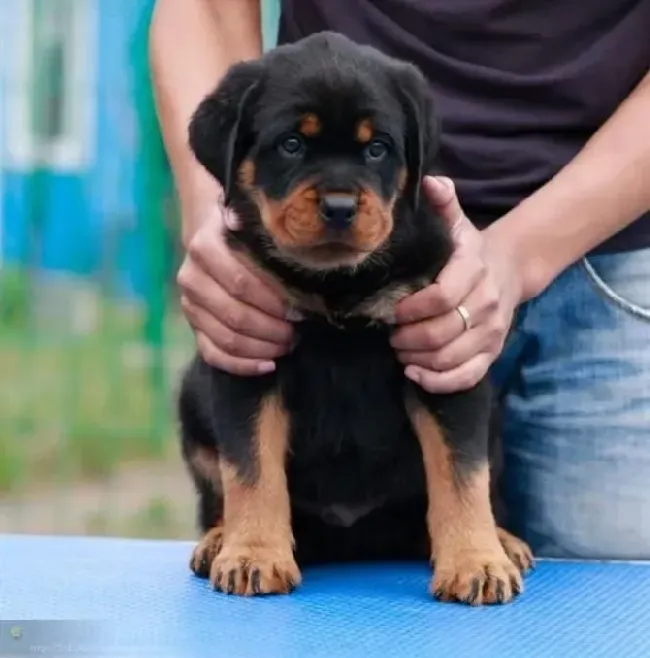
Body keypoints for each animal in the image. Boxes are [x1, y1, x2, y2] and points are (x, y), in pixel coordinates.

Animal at [178, 32, 532, 604]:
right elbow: (250, 468)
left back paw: (503, 541)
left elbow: (461, 472)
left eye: (377, 148)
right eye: (292, 145)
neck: (336, 283)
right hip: (195, 392)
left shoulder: (440, 358)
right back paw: (218, 540)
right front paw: (253, 554)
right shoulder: (250, 356)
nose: (341, 206)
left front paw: (476, 563)